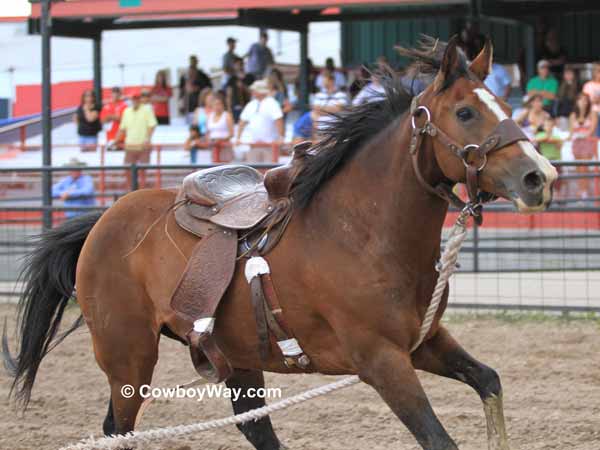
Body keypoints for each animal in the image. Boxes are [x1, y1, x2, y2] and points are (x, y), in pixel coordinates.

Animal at [5, 38, 556, 450]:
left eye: (503, 104)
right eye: (464, 112)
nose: (540, 177)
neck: (361, 234)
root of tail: (103, 219)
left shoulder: (425, 344)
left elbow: (489, 381)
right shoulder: (381, 361)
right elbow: (439, 439)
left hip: (234, 358)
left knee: (255, 431)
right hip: (128, 355)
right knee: (119, 430)